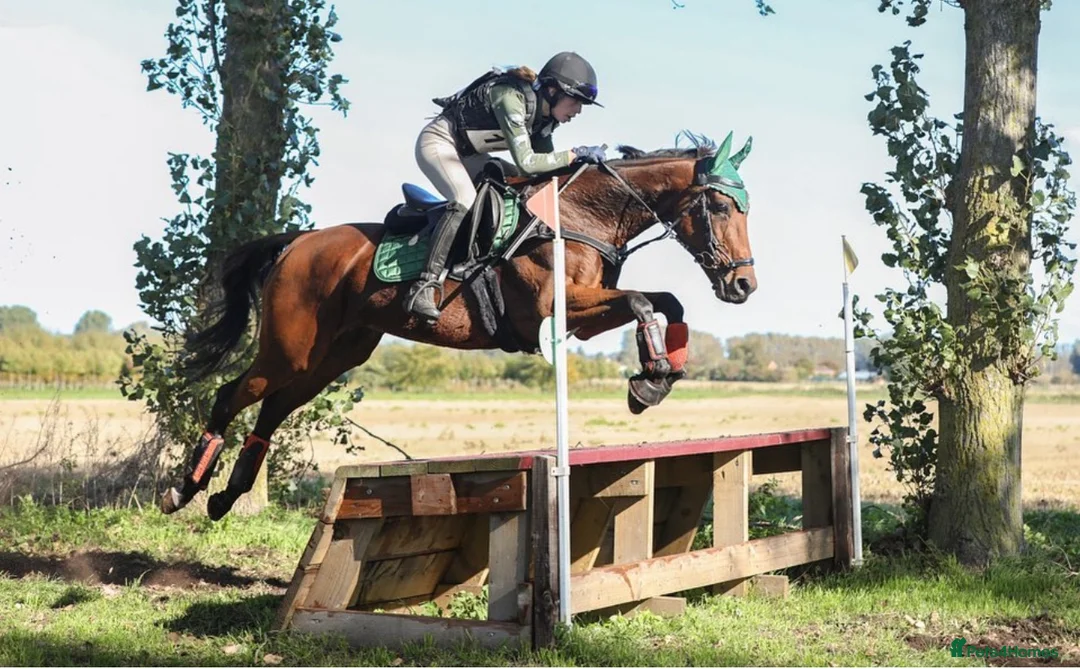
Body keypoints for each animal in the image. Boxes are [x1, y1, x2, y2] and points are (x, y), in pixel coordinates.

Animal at [161, 131, 759, 520]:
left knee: (275, 406)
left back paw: (224, 497)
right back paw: (184, 491)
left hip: (334, 355)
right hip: (290, 348)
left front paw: (658, 377)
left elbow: (667, 302)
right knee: (232, 393)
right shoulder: (553, 313)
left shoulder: (583, 318)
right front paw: (649, 379)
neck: (579, 218)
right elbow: (640, 301)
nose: (744, 286)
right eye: (722, 209)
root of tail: (297, 242)